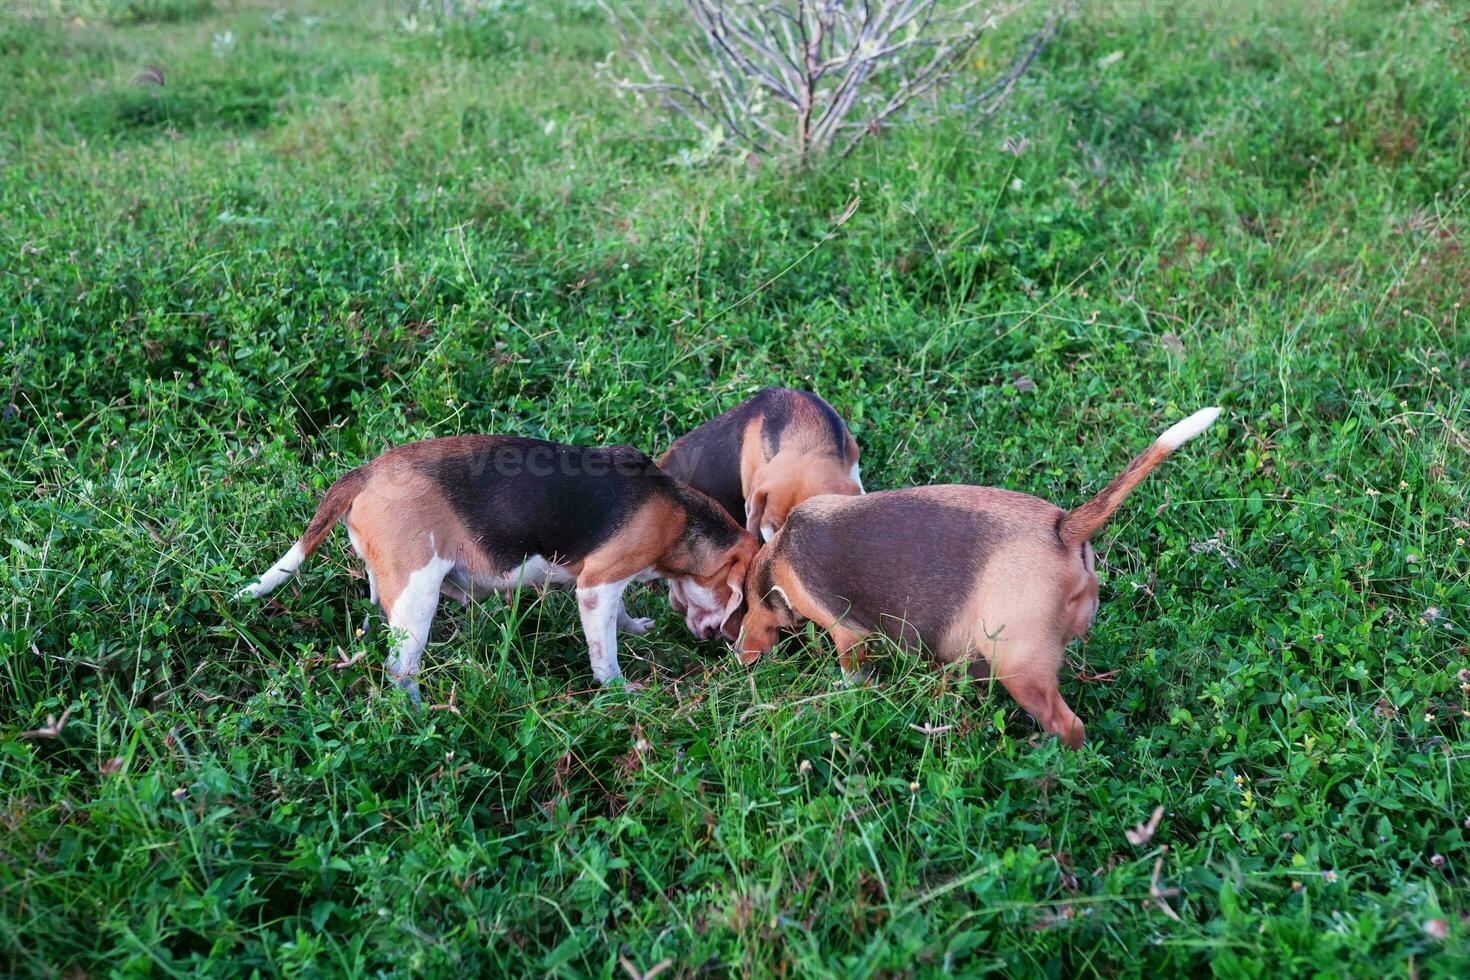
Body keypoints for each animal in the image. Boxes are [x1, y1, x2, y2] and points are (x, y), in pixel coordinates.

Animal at [239, 434, 758, 696]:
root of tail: (365, 472)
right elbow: (604, 651)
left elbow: (620, 616)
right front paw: (619, 688)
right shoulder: (598, 585)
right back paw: (418, 713)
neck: (681, 515)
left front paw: (634, 627)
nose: (724, 641)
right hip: (417, 596)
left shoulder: (605, 581)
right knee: (400, 669)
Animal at [735, 405, 1228, 752]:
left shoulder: (849, 637)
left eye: (748, 605)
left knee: (1069, 727)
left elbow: (851, 671)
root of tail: (1064, 527)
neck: (780, 552)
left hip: (1019, 668)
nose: (738, 653)